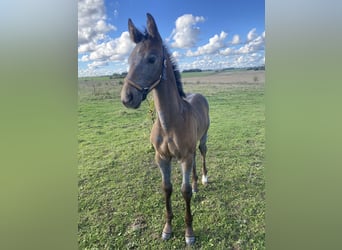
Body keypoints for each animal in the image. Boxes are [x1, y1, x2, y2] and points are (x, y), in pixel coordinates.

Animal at [120, 12, 211, 245]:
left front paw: (189, 232)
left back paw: (204, 179)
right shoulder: (161, 157)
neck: (169, 123)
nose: (127, 98)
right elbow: (167, 189)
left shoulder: (184, 157)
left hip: (203, 138)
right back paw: (197, 184)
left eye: (151, 58)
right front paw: (168, 228)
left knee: (202, 154)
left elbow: (184, 191)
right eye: (129, 59)